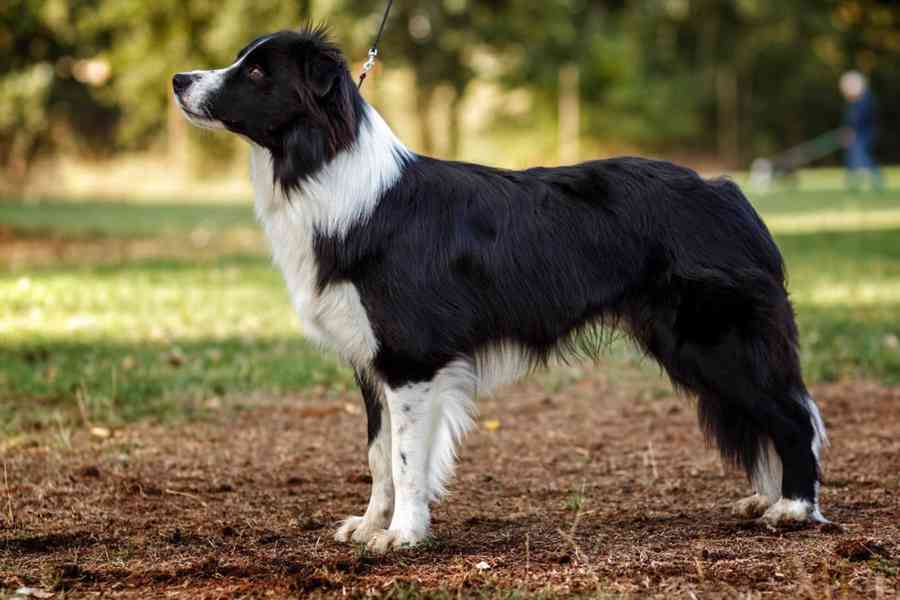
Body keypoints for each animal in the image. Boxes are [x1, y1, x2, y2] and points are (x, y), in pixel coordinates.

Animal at [172, 28, 828, 552]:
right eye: (241, 59)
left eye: (258, 72)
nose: (178, 79)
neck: (327, 170)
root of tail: (729, 192)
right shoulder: (371, 360)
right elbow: (378, 456)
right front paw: (371, 523)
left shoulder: (411, 359)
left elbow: (406, 459)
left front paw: (402, 536)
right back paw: (766, 498)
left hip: (715, 341)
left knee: (794, 414)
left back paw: (795, 508)